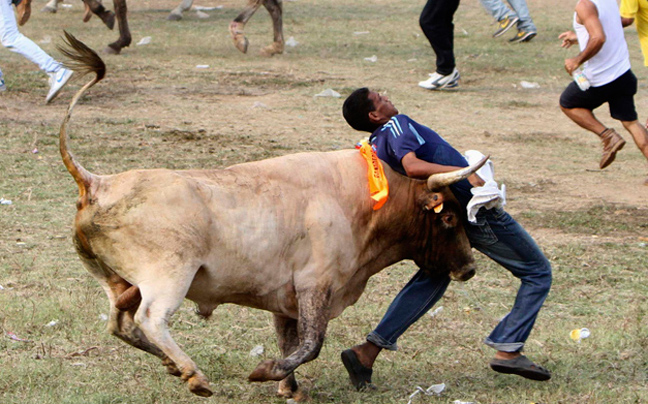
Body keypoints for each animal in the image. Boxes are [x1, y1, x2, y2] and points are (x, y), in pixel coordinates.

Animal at [57, 33, 486, 400]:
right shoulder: (316, 284)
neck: (361, 198)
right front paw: (268, 372)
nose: (468, 268)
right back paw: (193, 373)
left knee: (120, 321)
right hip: (169, 275)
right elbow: (311, 343)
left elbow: (290, 339)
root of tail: (98, 182)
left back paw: (171, 364)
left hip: (118, 280)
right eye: (449, 219)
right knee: (149, 318)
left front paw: (289, 387)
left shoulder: (286, 297)